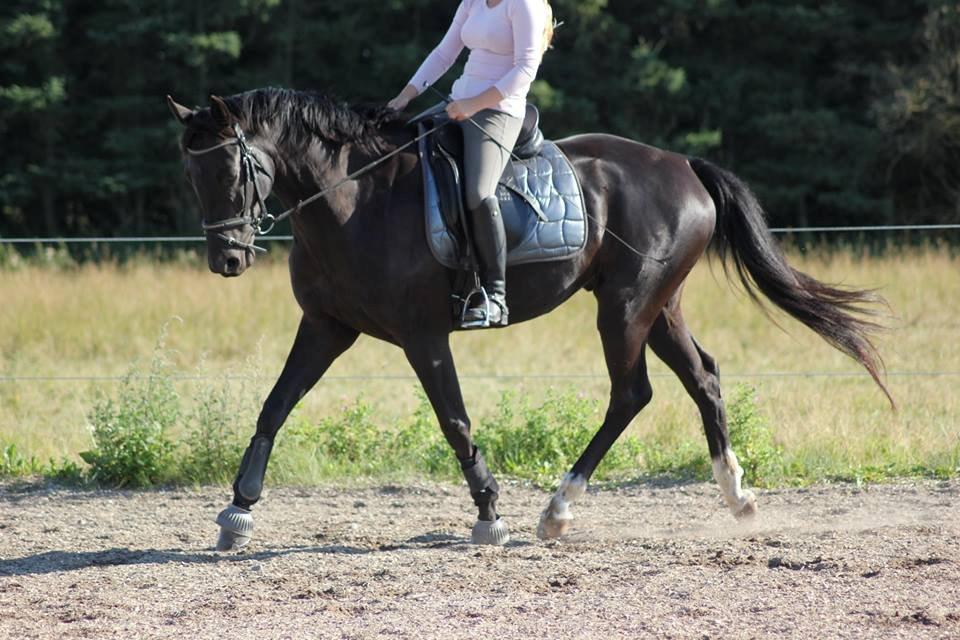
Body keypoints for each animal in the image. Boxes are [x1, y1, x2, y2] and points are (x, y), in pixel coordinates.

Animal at [167, 89, 892, 552]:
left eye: (232, 169)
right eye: (191, 176)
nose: (227, 259)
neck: (351, 200)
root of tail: (682, 164)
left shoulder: (422, 336)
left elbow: (454, 421)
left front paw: (489, 513)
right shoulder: (325, 326)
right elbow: (274, 406)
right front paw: (237, 511)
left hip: (625, 307)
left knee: (632, 394)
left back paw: (558, 509)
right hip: (660, 306)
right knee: (703, 378)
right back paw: (737, 497)